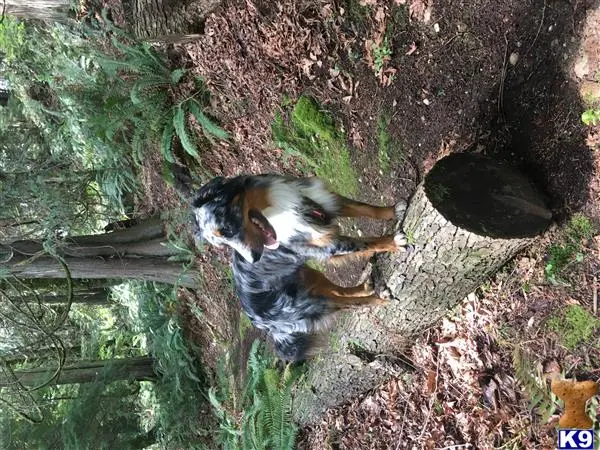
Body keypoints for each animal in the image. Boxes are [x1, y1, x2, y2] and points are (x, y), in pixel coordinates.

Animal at [192, 175, 408, 362]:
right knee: (348, 303)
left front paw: (392, 211)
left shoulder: (321, 200)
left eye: (226, 229)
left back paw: (365, 288)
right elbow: (366, 243)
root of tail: (262, 325)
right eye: (222, 244)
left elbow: (363, 207)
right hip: (309, 305)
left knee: (337, 289)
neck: (274, 210)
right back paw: (377, 297)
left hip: (308, 275)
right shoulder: (328, 246)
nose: (254, 258)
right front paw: (393, 242)